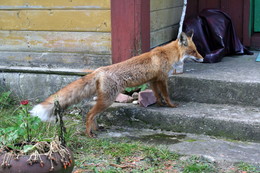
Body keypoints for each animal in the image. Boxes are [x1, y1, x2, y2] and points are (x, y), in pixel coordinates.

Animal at [30, 30, 203, 137]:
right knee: (89, 114)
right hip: (108, 100)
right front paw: (171, 105)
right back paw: (89, 134)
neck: (168, 54)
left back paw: (97, 129)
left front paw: (160, 104)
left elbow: (157, 95)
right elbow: (166, 94)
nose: (202, 58)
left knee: (93, 115)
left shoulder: (153, 80)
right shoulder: (162, 79)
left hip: (105, 100)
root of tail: (99, 70)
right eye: (194, 51)